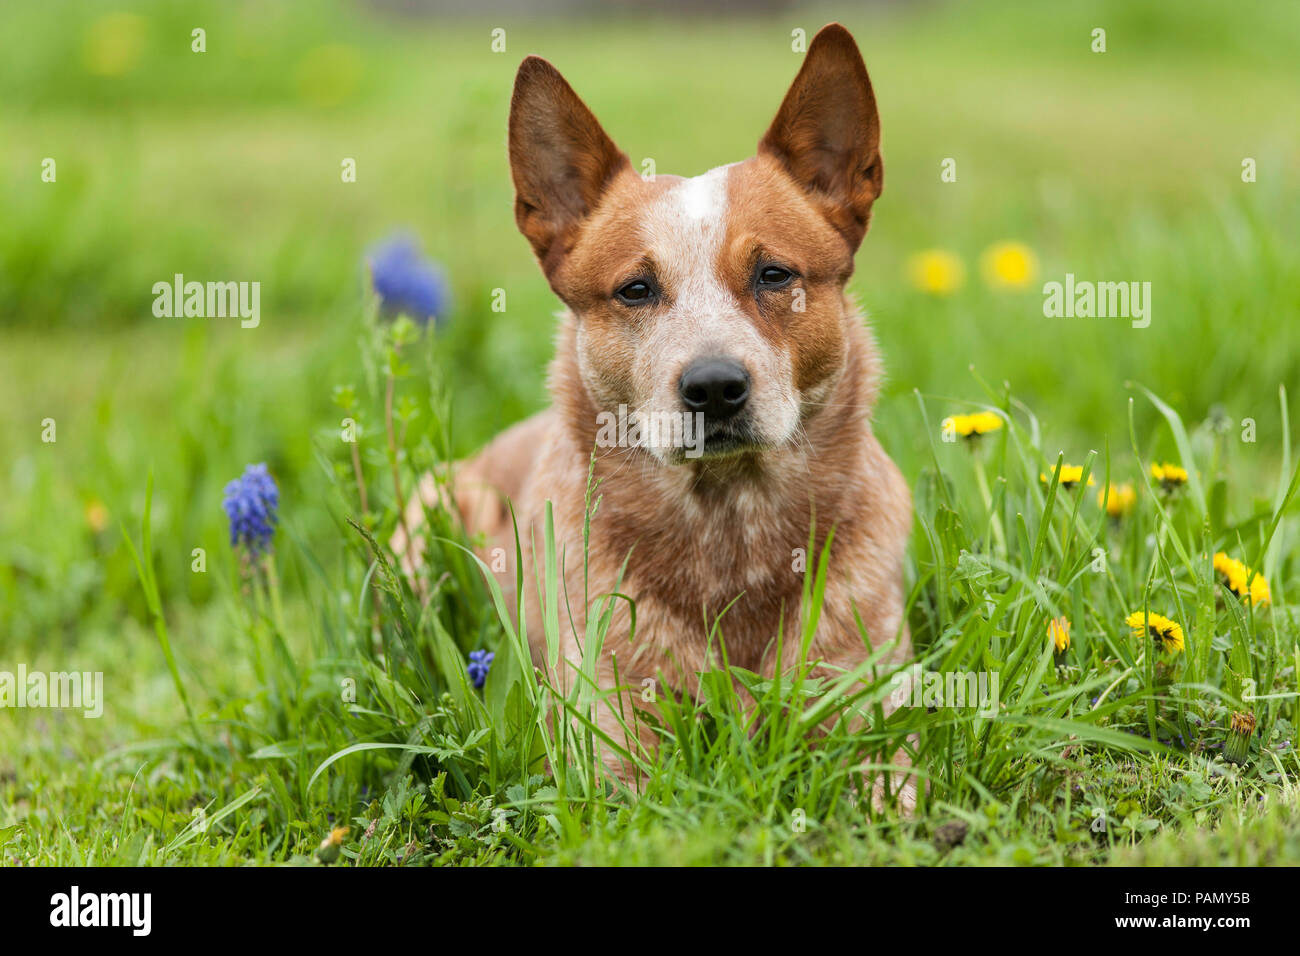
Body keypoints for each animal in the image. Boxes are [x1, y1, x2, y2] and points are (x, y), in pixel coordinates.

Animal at [395, 22, 915, 801]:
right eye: (636, 289)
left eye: (774, 274)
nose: (715, 386)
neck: (729, 531)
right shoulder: (604, 730)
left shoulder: (871, 692)